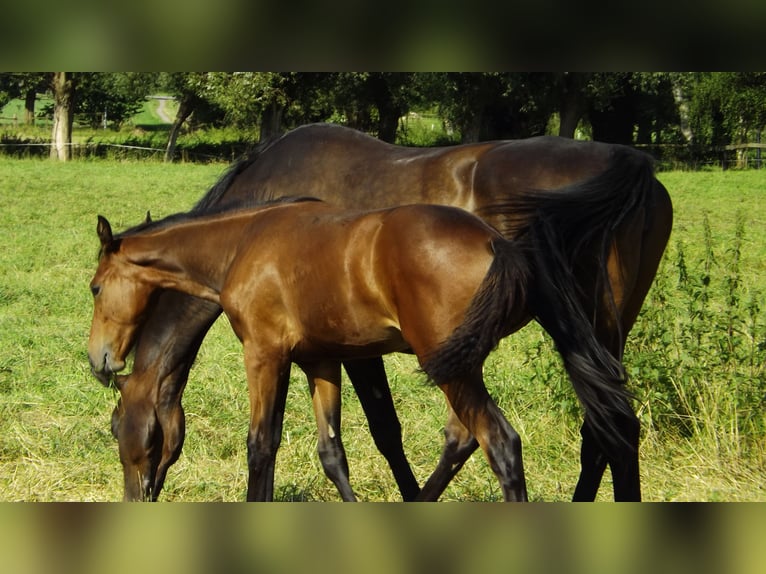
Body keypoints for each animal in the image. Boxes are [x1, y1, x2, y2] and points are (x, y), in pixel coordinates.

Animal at [100, 124, 672, 502]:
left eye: (118, 427)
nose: (137, 498)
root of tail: (629, 164)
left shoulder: (348, 349)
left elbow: (383, 431)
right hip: (596, 335)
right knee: (609, 428)